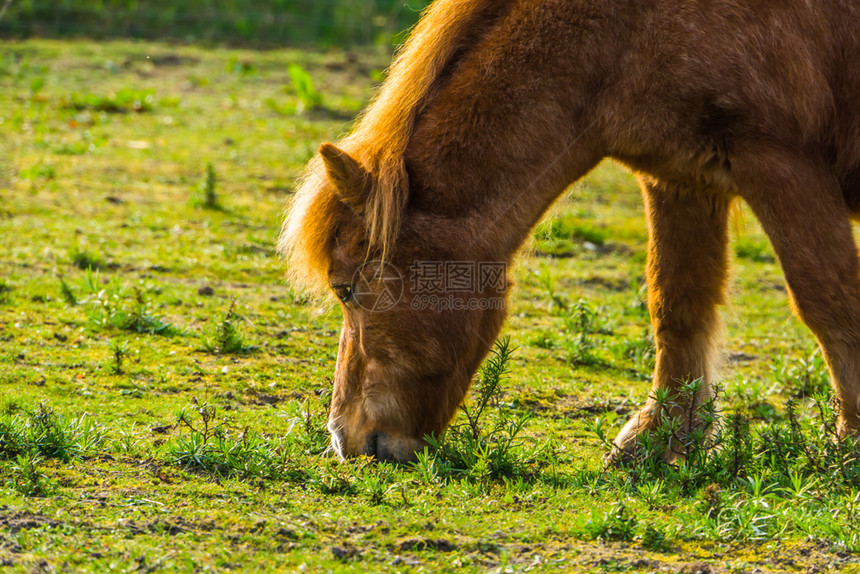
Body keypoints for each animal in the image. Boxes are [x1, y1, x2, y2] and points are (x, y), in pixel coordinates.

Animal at [278, 0, 860, 464]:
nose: (345, 440)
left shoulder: (780, 167)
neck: (627, 32)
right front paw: (660, 440)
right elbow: (677, 307)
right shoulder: (681, 179)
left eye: (345, 289)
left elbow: (829, 305)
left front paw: (850, 443)